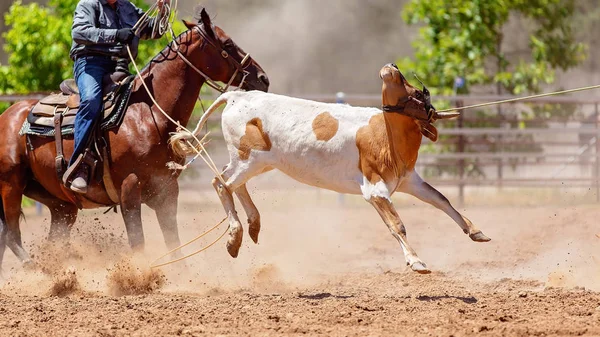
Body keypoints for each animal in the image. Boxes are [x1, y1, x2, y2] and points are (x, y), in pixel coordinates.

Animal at [0, 8, 268, 270]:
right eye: (227, 43)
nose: (263, 78)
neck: (147, 114)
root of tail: (8, 115)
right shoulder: (130, 189)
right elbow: (138, 242)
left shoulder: (167, 190)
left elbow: (174, 243)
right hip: (10, 186)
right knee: (12, 235)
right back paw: (34, 268)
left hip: (60, 204)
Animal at [171, 63, 490, 272]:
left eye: (415, 91)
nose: (393, 66)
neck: (386, 138)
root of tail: (238, 96)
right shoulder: (375, 190)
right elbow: (397, 224)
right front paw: (416, 261)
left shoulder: (409, 181)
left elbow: (441, 200)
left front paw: (476, 231)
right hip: (248, 158)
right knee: (220, 183)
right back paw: (234, 237)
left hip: (258, 162)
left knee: (231, 183)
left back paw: (253, 224)